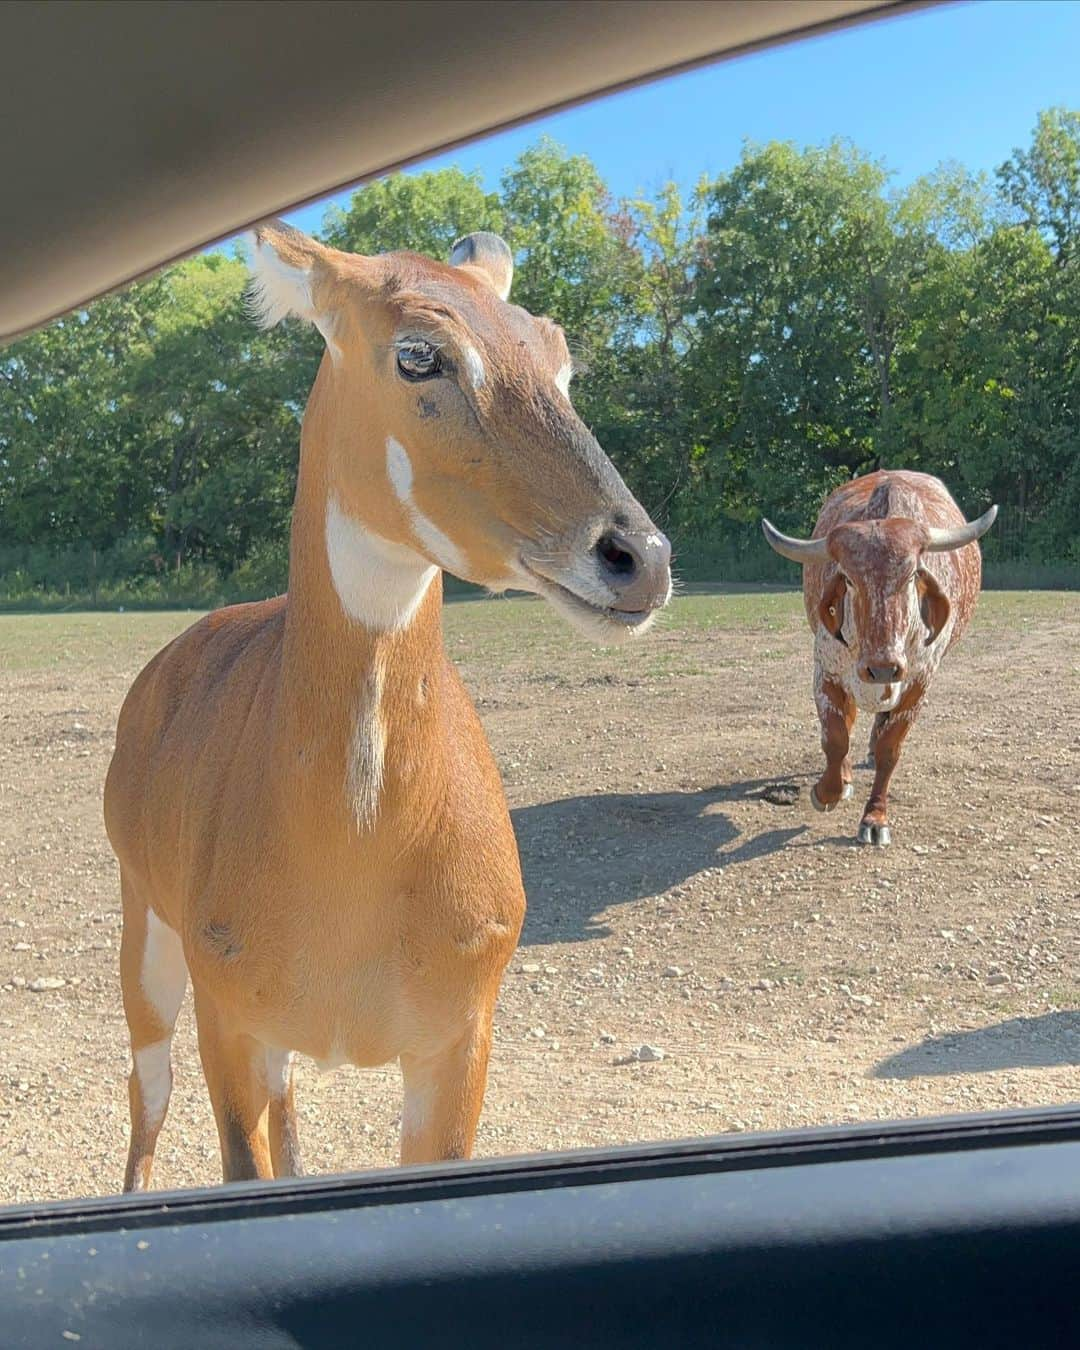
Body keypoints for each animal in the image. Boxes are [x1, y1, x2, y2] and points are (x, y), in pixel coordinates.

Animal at [105, 224, 669, 1193]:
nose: (638, 558)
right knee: (149, 1095)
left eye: (557, 355)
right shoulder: (228, 1012)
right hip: (145, 930)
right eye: (418, 353)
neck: (352, 862)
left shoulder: (458, 1030)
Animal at [761, 472, 993, 842]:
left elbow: (889, 750)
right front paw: (827, 791)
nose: (882, 668)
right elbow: (836, 737)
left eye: (911, 575)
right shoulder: (826, 671)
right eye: (848, 579)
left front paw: (874, 818)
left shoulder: (918, 683)